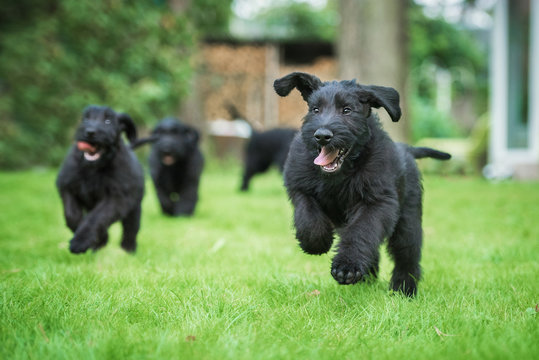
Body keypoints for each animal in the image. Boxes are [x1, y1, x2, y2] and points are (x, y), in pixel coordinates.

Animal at [56, 105, 144, 255]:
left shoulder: (117, 198)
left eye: (108, 121)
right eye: (86, 118)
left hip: (134, 208)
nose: (89, 132)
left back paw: (128, 248)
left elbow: (97, 217)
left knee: (130, 229)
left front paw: (81, 241)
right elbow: (71, 214)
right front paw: (94, 238)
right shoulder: (67, 187)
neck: (94, 168)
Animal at [274, 71, 452, 296]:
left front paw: (346, 267)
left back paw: (404, 289)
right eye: (315, 109)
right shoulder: (300, 188)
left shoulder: (377, 202)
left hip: (408, 222)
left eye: (347, 110)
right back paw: (367, 279)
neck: (342, 173)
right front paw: (315, 243)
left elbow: (361, 232)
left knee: (407, 256)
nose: (322, 135)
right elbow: (308, 217)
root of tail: (407, 150)